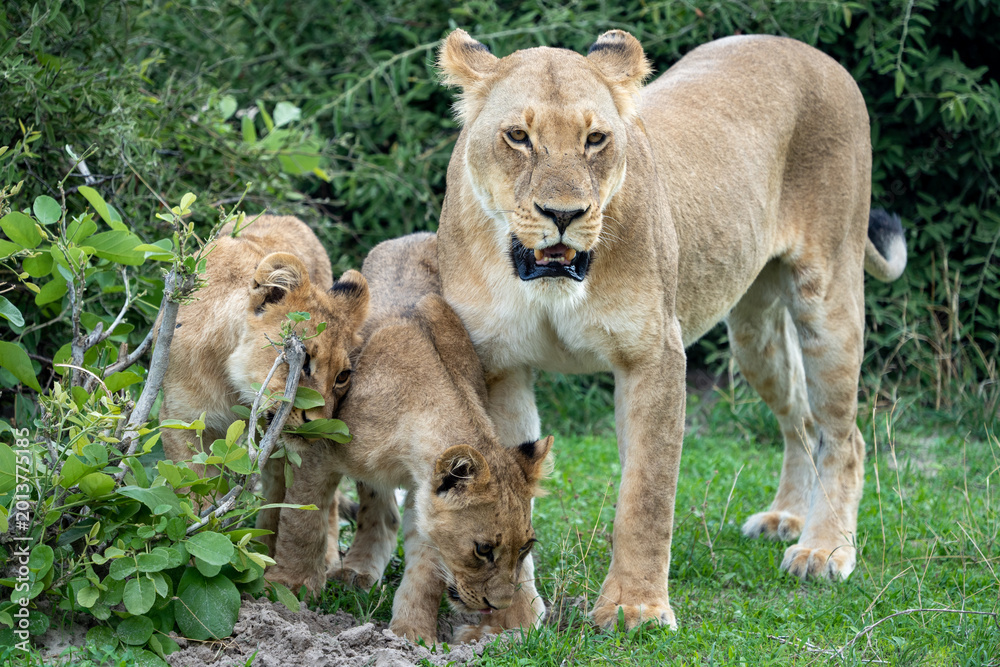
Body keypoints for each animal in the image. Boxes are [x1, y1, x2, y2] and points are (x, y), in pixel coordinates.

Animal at [160, 214, 370, 542]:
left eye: (342, 376)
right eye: (304, 360)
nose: (318, 425)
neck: (233, 387)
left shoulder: (277, 453)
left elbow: (274, 512)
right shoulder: (181, 422)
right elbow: (192, 494)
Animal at [261, 232, 554, 643]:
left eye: (526, 546)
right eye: (483, 550)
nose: (497, 606)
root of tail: (414, 235)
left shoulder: (426, 494)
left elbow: (427, 570)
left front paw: (412, 636)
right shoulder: (317, 449)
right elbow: (301, 523)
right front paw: (288, 590)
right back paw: (353, 572)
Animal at [425, 29, 907, 634]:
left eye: (596, 139)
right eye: (518, 136)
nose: (563, 214)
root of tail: (804, 48)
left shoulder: (653, 356)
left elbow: (646, 496)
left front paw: (636, 608)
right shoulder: (500, 366)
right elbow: (507, 485)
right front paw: (510, 615)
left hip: (829, 295)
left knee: (845, 436)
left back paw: (824, 550)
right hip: (754, 333)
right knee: (800, 418)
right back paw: (787, 517)